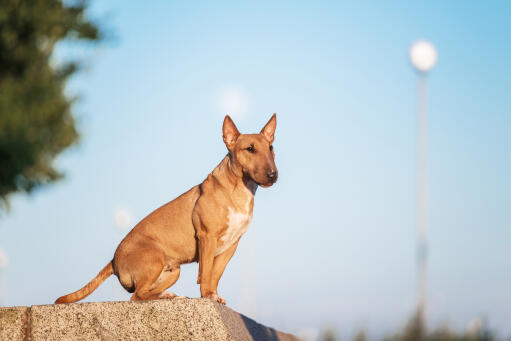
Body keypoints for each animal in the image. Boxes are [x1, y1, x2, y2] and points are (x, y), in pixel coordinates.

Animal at [55, 113, 278, 302]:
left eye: (271, 148)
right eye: (250, 149)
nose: (273, 175)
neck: (238, 189)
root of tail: (113, 260)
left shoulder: (231, 245)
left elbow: (216, 274)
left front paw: (214, 295)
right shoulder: (207, 237)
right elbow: (206, 273)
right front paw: (208, 296)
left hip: (173, 271)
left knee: (144, 292)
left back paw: (169, 295)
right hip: (155, 258)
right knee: (136, 296)